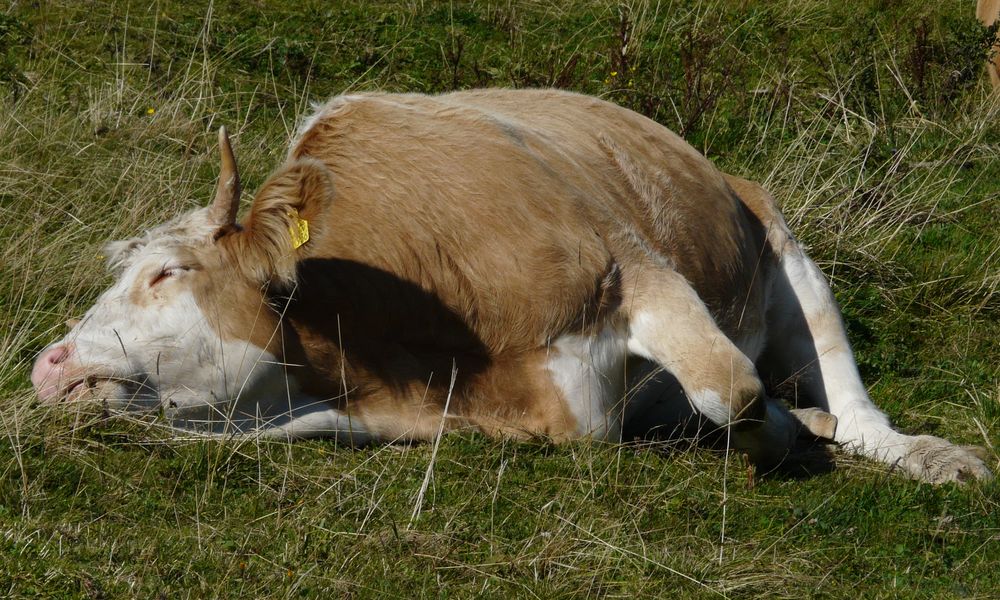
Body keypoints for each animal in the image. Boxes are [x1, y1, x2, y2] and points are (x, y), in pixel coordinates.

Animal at [29, 89, 992, 482]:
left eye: (167, 270)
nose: (48, 364)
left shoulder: (636, 266)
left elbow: (734, 391)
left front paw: (789, 433)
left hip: (784, 245)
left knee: (854, 407)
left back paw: (929, 457)